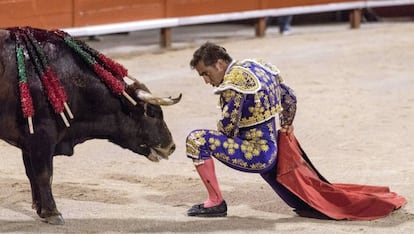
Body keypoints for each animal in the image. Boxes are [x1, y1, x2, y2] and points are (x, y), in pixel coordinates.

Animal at [0, 28, 181, 224]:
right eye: (152, 113)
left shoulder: (28, 143)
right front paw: (52, 212)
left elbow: (32, 173)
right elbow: (44, 174)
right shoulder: (41, 136)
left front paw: (40, 209)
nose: (171, 146)